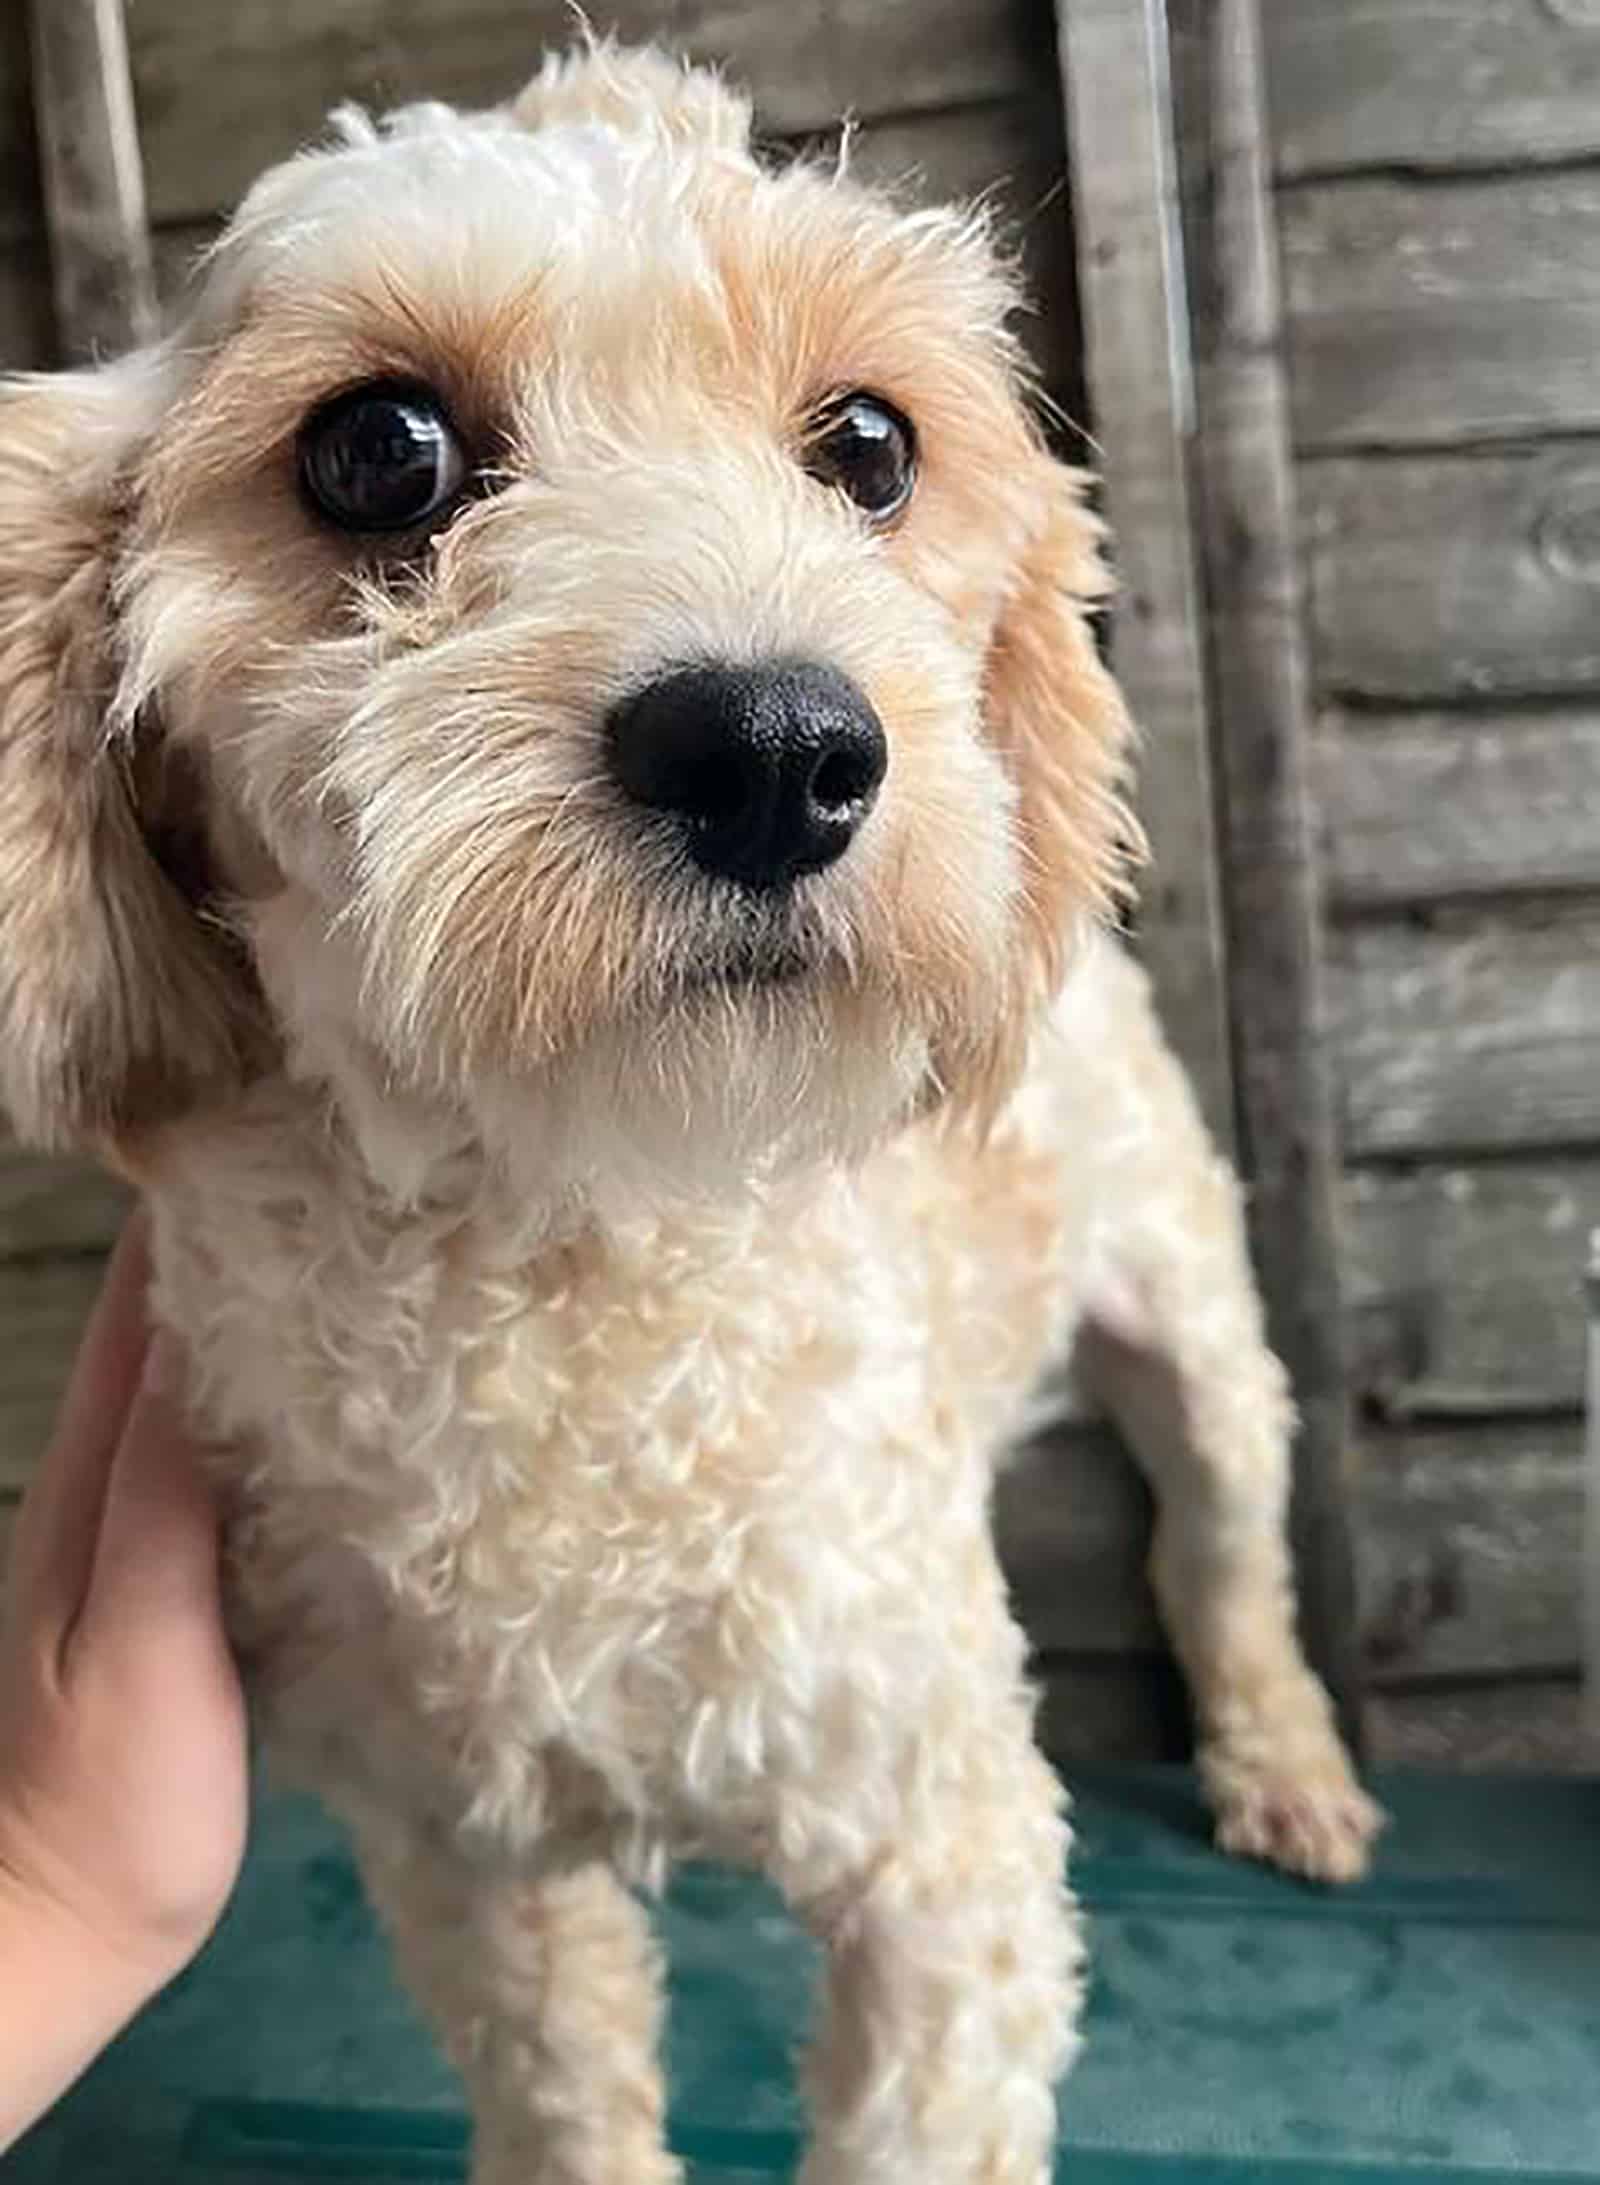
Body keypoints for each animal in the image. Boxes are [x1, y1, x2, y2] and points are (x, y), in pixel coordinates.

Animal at [0, 46, 1372, 2185]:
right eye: (379, 450)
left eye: (873, 445)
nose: (777, 752)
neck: (577, 1256)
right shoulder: (468, 1856)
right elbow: (566, 2095)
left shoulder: (948, 1856)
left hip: (1204, 1329)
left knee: (1221, 1554)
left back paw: (1285, 1765)